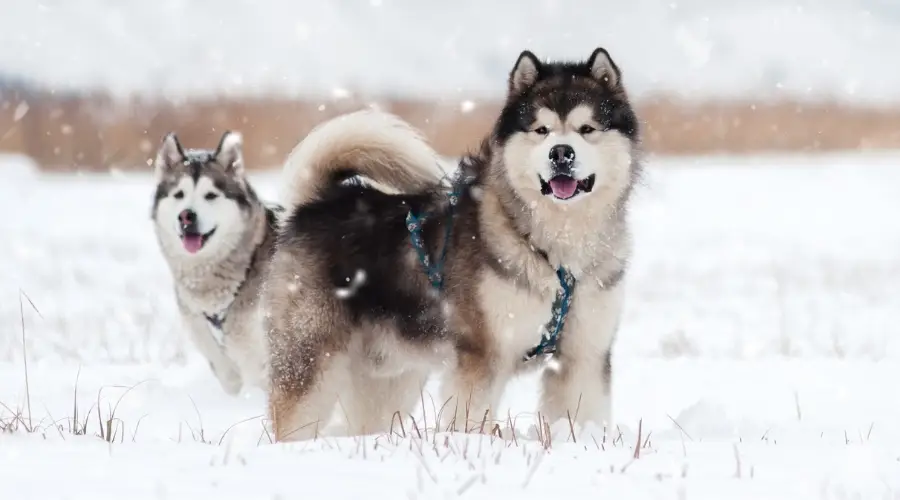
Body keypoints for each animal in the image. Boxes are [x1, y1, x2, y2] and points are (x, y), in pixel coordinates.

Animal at [151, 131, 280, 396]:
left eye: (210, 195)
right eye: (179, 194)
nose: (186, 216)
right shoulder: (192, 311)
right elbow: (210, 347)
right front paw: (232, 381)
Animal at [266, 47, 640, 442]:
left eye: (587, 129)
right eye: (541, 130)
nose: (561, 154)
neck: (558, 250)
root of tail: (315, 204)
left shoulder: (585, 355)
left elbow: (582, 415)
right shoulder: (483, 353)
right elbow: (471, 416)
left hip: (388, 379)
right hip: (311, 361)